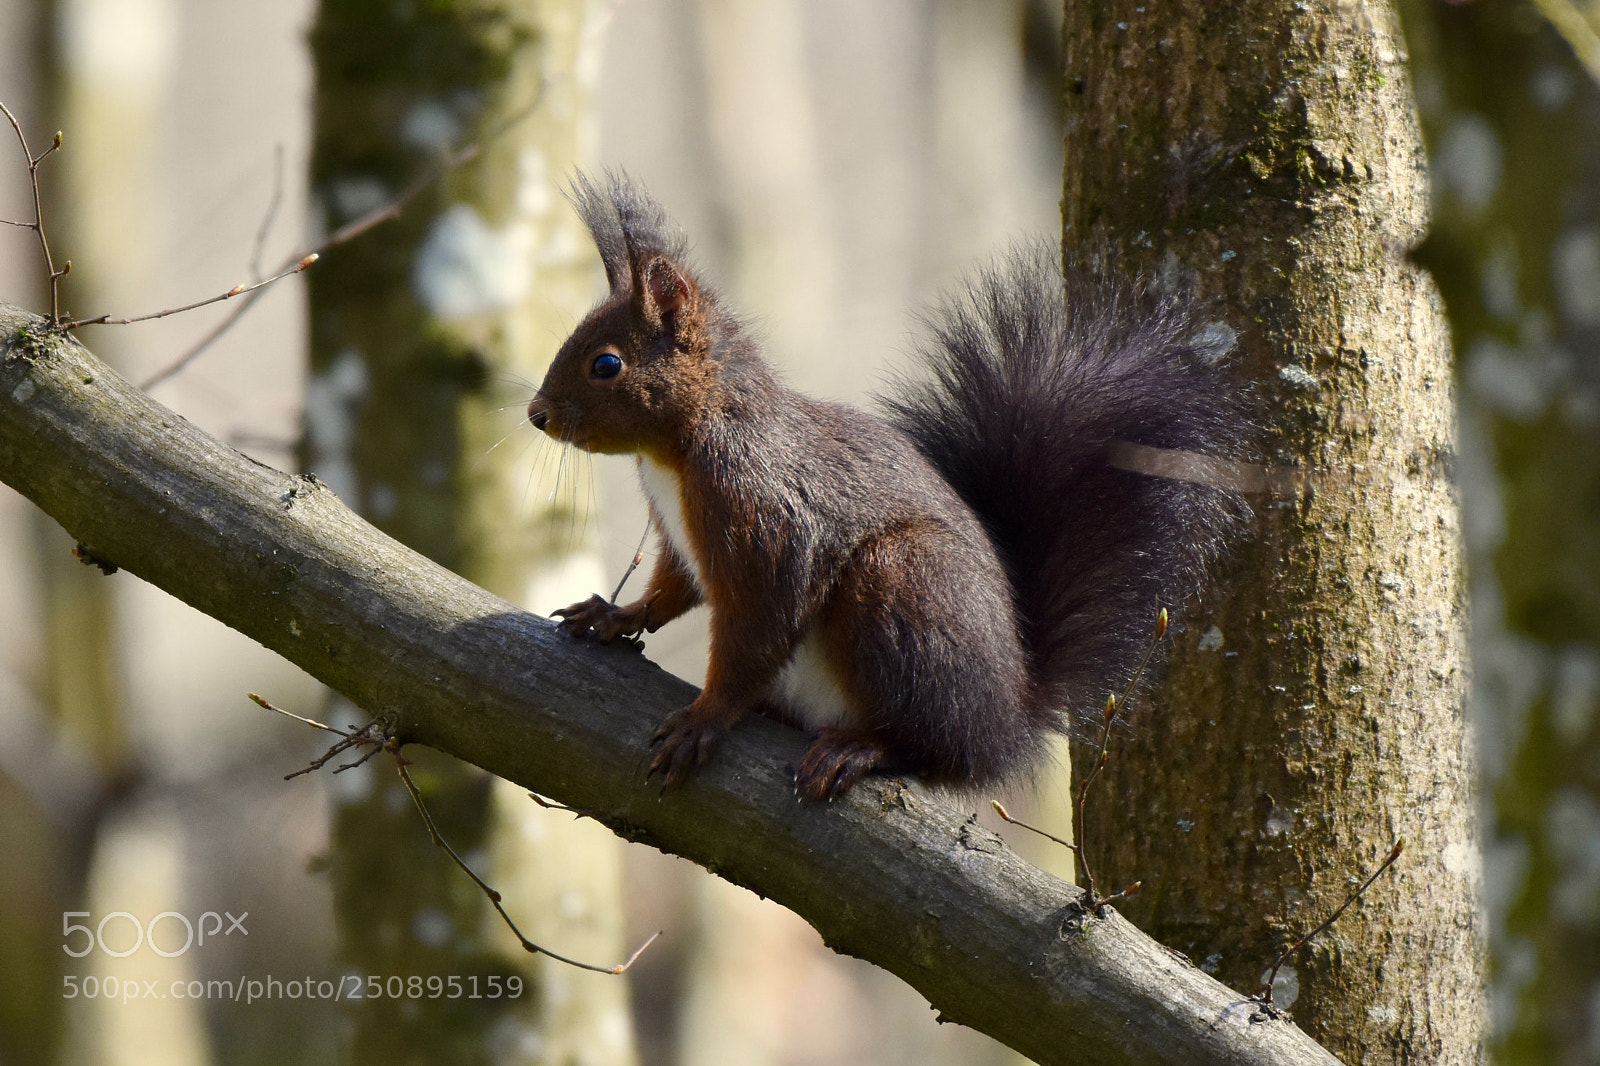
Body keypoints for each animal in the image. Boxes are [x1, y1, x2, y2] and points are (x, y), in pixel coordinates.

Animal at [527, 173, 1252, 801]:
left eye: (606, 365)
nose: (536, 415)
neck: (679, 447)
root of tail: (1005, 724)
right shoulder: (686, 542)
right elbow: (672, 589)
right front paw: (615, 615)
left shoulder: (767, 518)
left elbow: (756, 629)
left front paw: (706, 717)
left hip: (903, 587)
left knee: (931, 749)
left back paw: (864, 748)